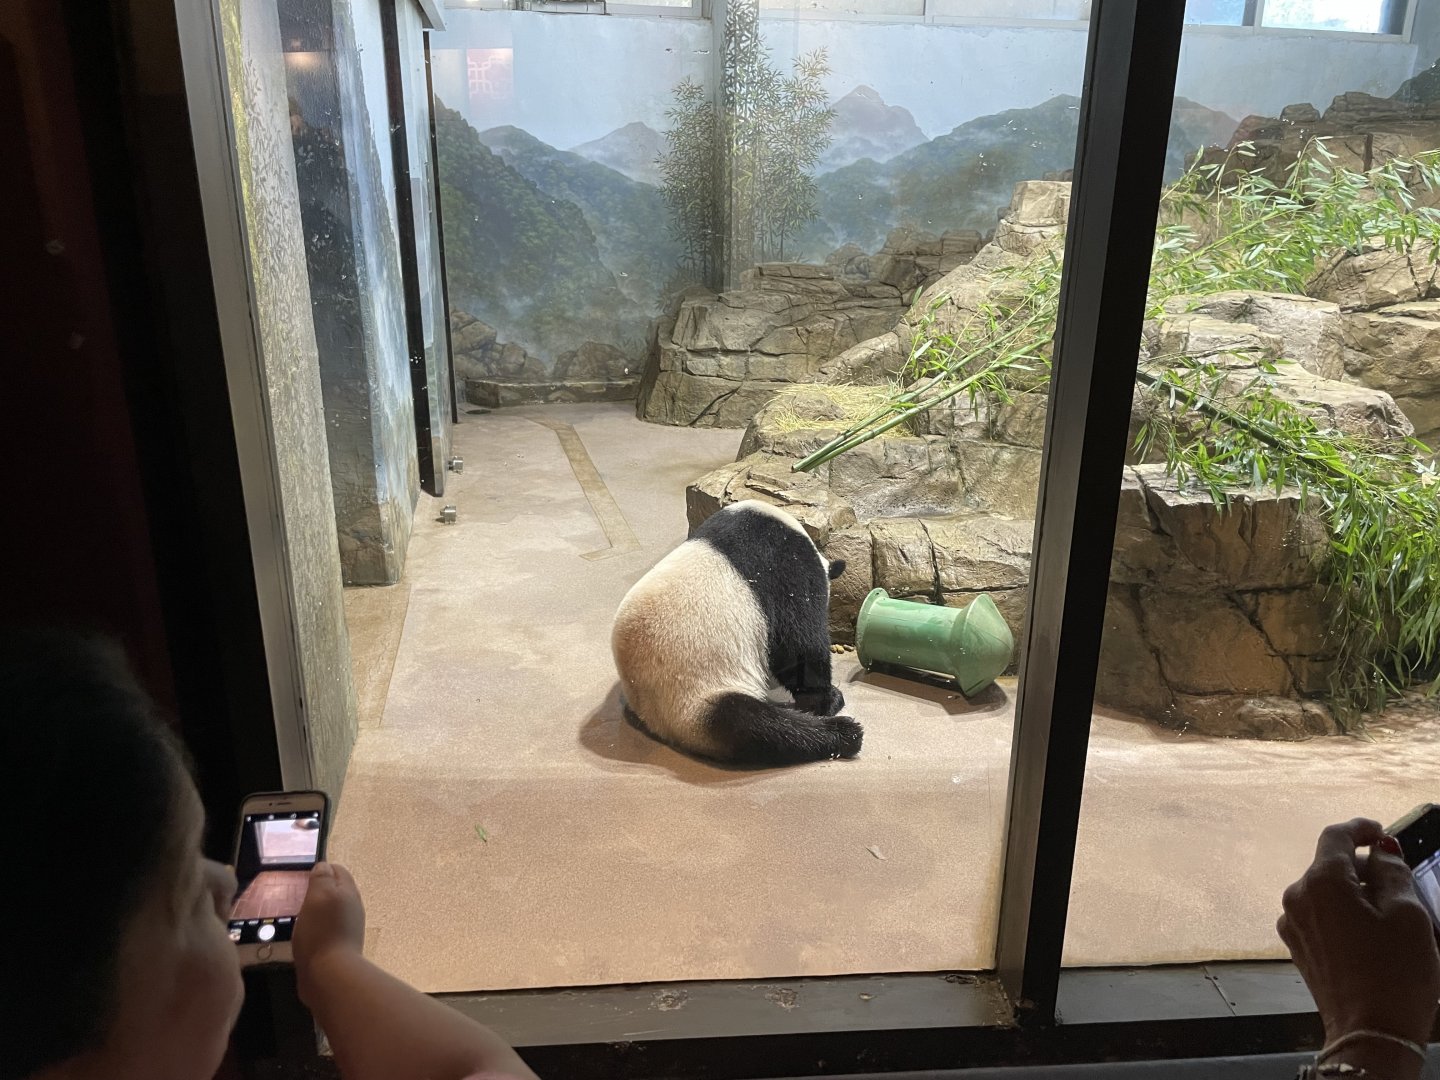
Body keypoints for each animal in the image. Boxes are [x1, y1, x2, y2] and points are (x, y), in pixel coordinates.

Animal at [611, 499, 862, 766]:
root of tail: (659, 724)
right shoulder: (786, 564)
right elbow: (799, 644)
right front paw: (828, 698)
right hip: (701, 696)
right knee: (759, 727)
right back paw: (844, 733)